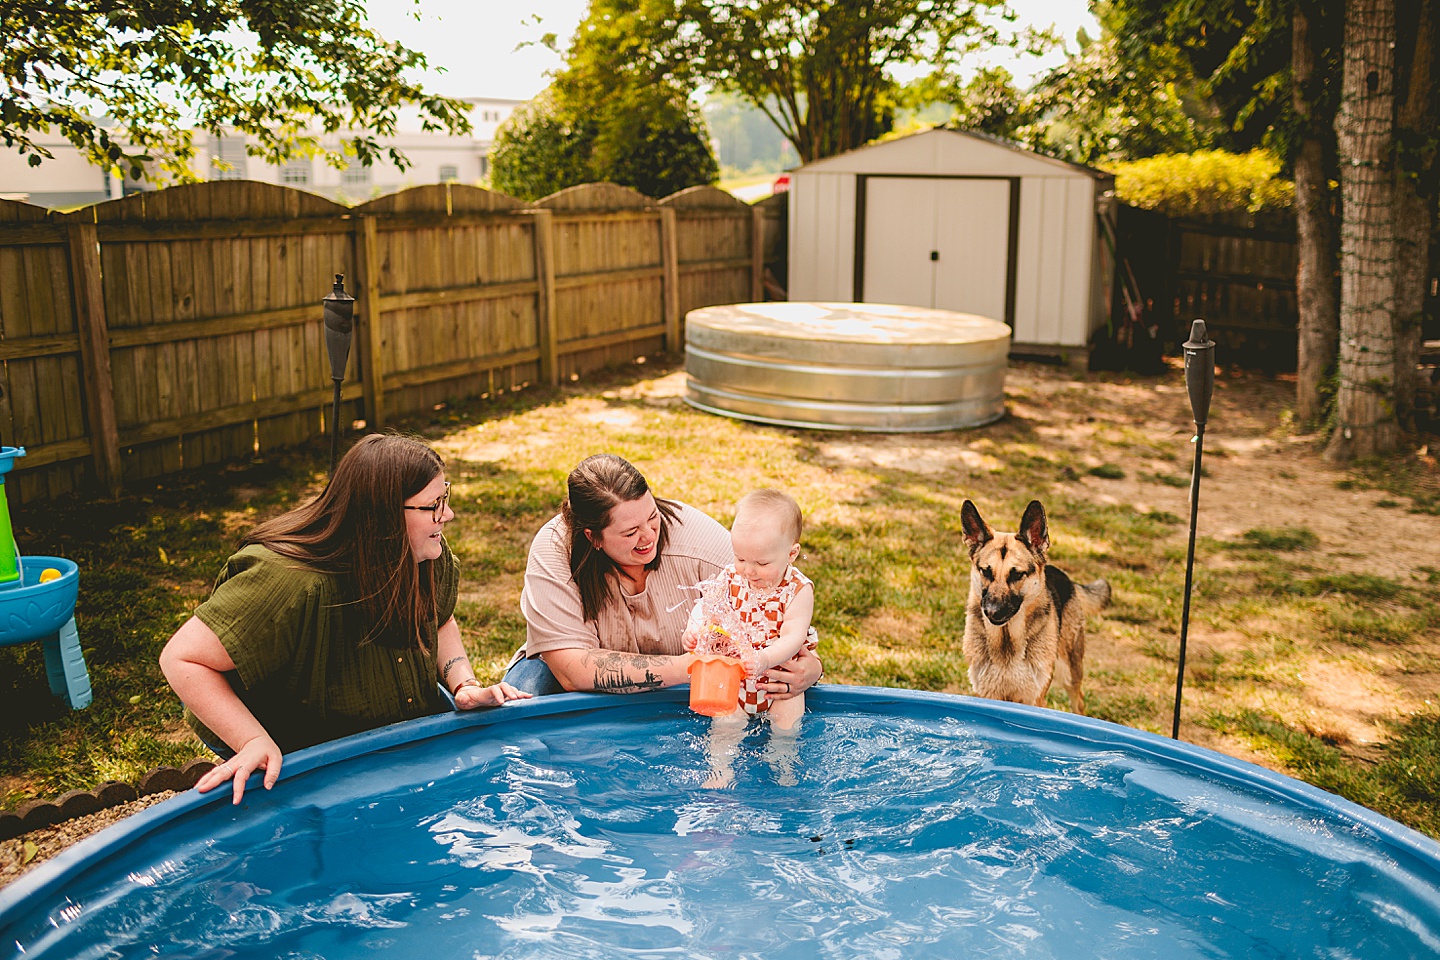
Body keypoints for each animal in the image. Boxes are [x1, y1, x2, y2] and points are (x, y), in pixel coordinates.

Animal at [961, 503, 1105, 713]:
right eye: (986, 572)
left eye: (1016, 574)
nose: (991, 611)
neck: (1007, 644)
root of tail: (1060, 574)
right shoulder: (988, 695)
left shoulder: (1034, 699)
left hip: (1069, 672)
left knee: (1078, 701)